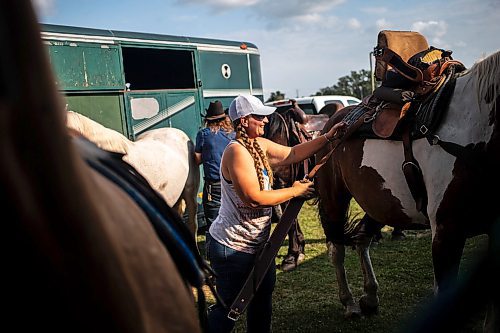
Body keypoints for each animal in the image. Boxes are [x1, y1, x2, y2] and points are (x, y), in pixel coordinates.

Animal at [316, 50, 500, 330]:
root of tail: (333, 123)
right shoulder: (447, 231)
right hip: (333, 199)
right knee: (336, 248)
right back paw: (349, 303)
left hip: (381, 201)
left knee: (361, 238)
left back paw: (370, 297)